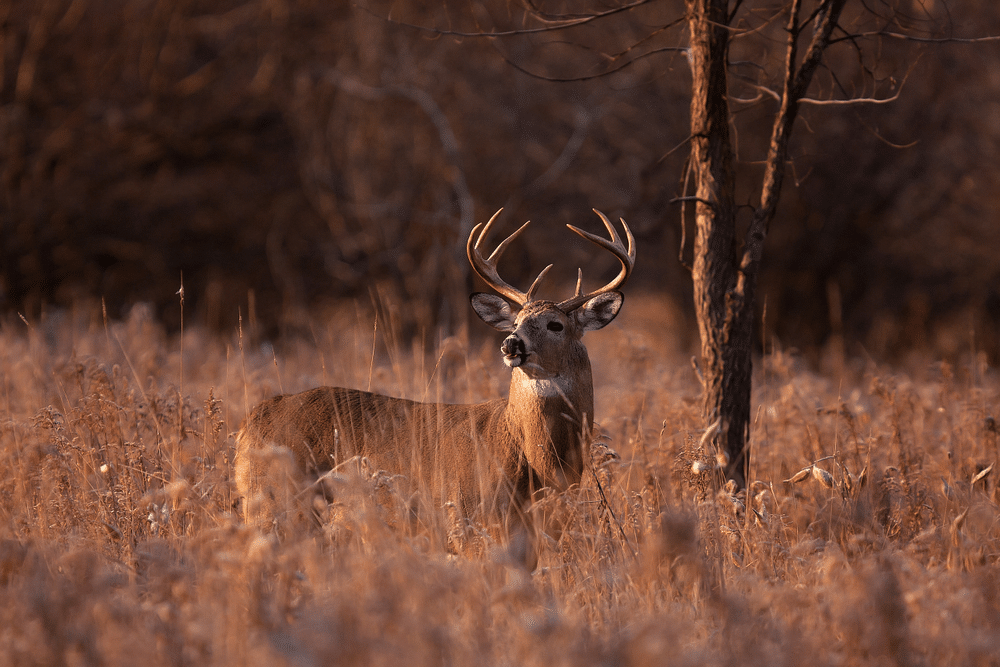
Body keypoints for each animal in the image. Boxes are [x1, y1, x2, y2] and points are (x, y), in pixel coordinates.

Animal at [232, 209, 632, 564]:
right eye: (515, 321)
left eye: (555, 325)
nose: (511, 344)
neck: (533, 460)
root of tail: (252, 420)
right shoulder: (468, 520)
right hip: (276, 501)